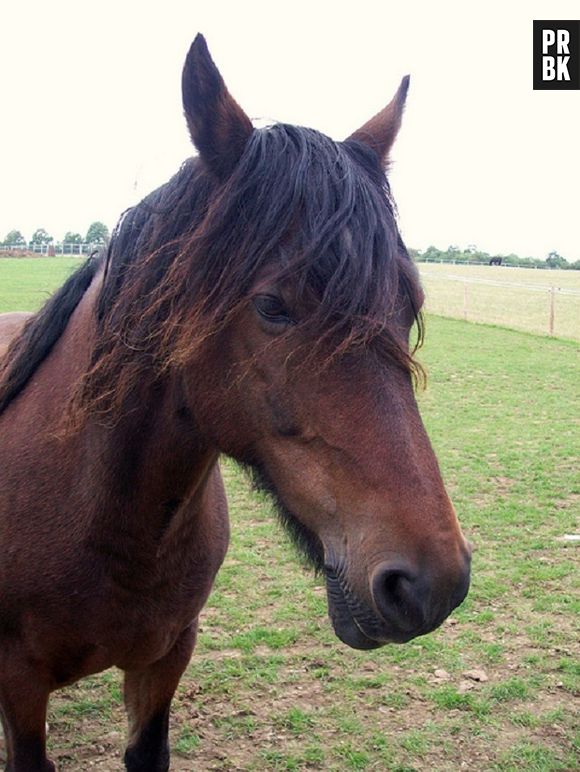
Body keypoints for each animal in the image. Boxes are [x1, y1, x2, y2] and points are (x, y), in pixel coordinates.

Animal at [0, 34, 472, 772]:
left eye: (409, 304)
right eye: (273, 305)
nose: (433, 583)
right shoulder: (19, 684)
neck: (105, 521)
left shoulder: (166, 658)